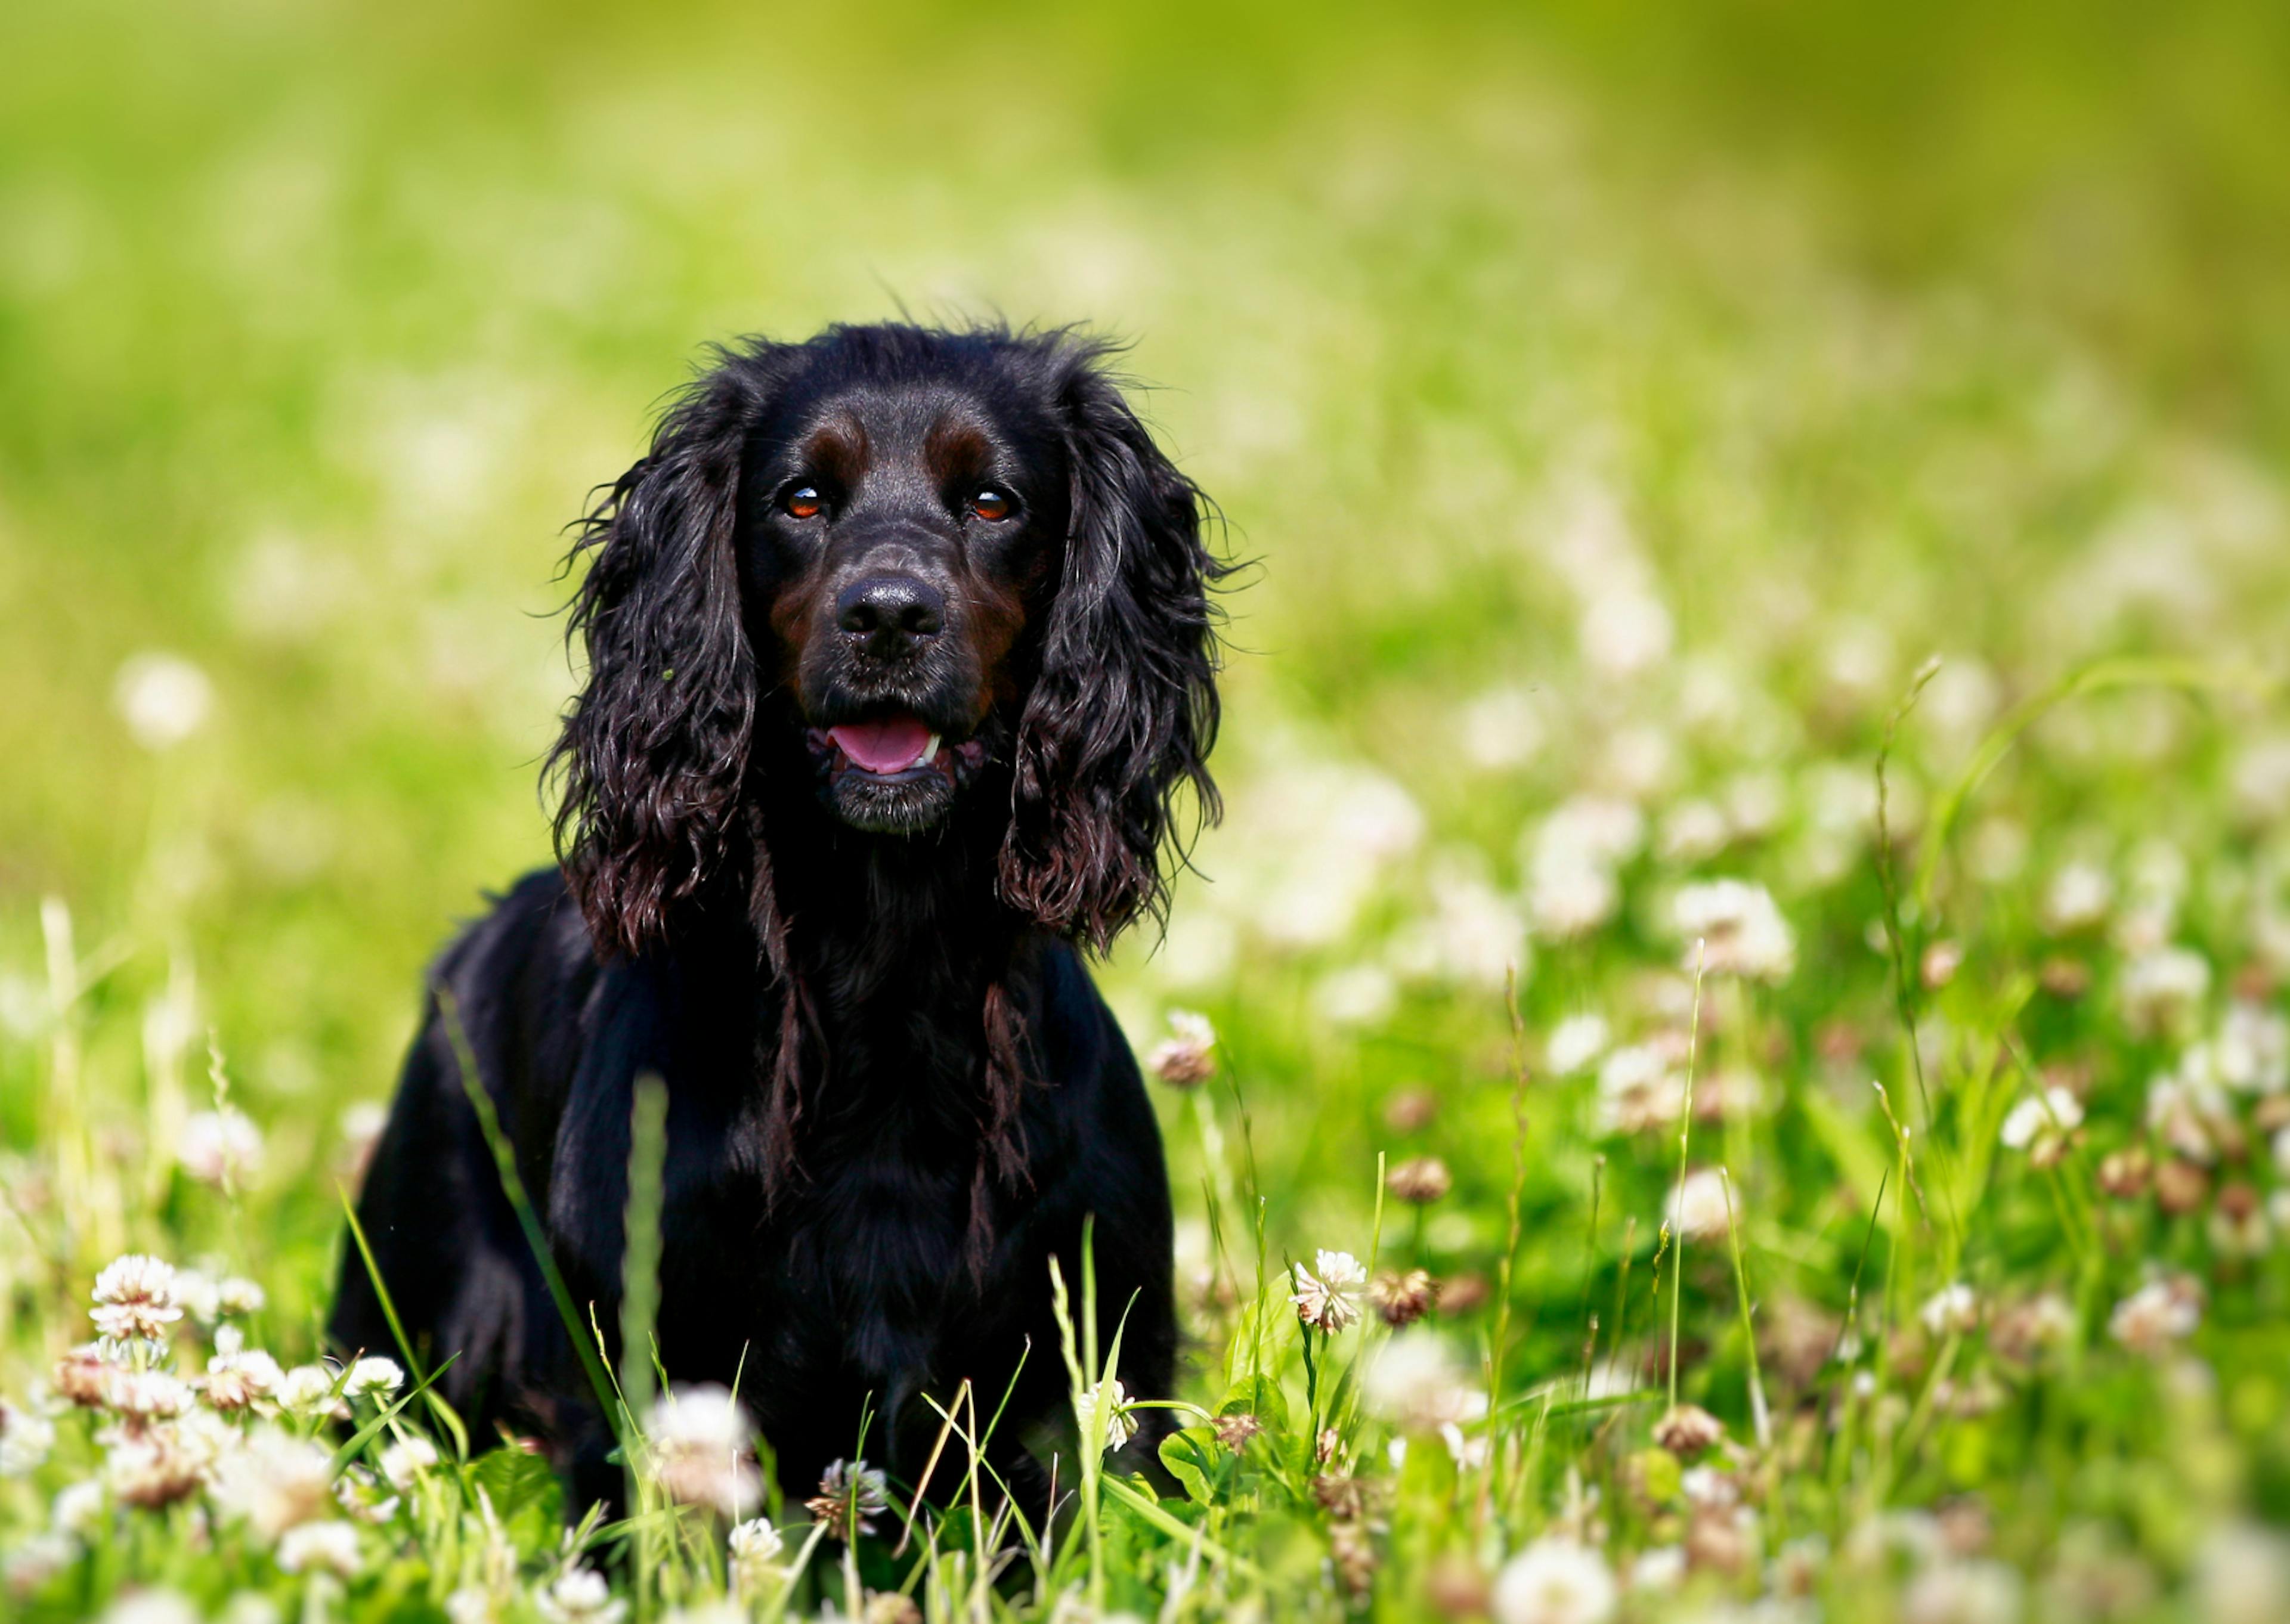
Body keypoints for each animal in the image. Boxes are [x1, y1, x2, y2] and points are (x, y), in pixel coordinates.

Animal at [332, 323, 1227, 1511]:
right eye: (801, 499)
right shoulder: (656, 1401)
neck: (890, 986)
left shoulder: (1096, 1391)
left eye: (993, 502)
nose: (888, 615)